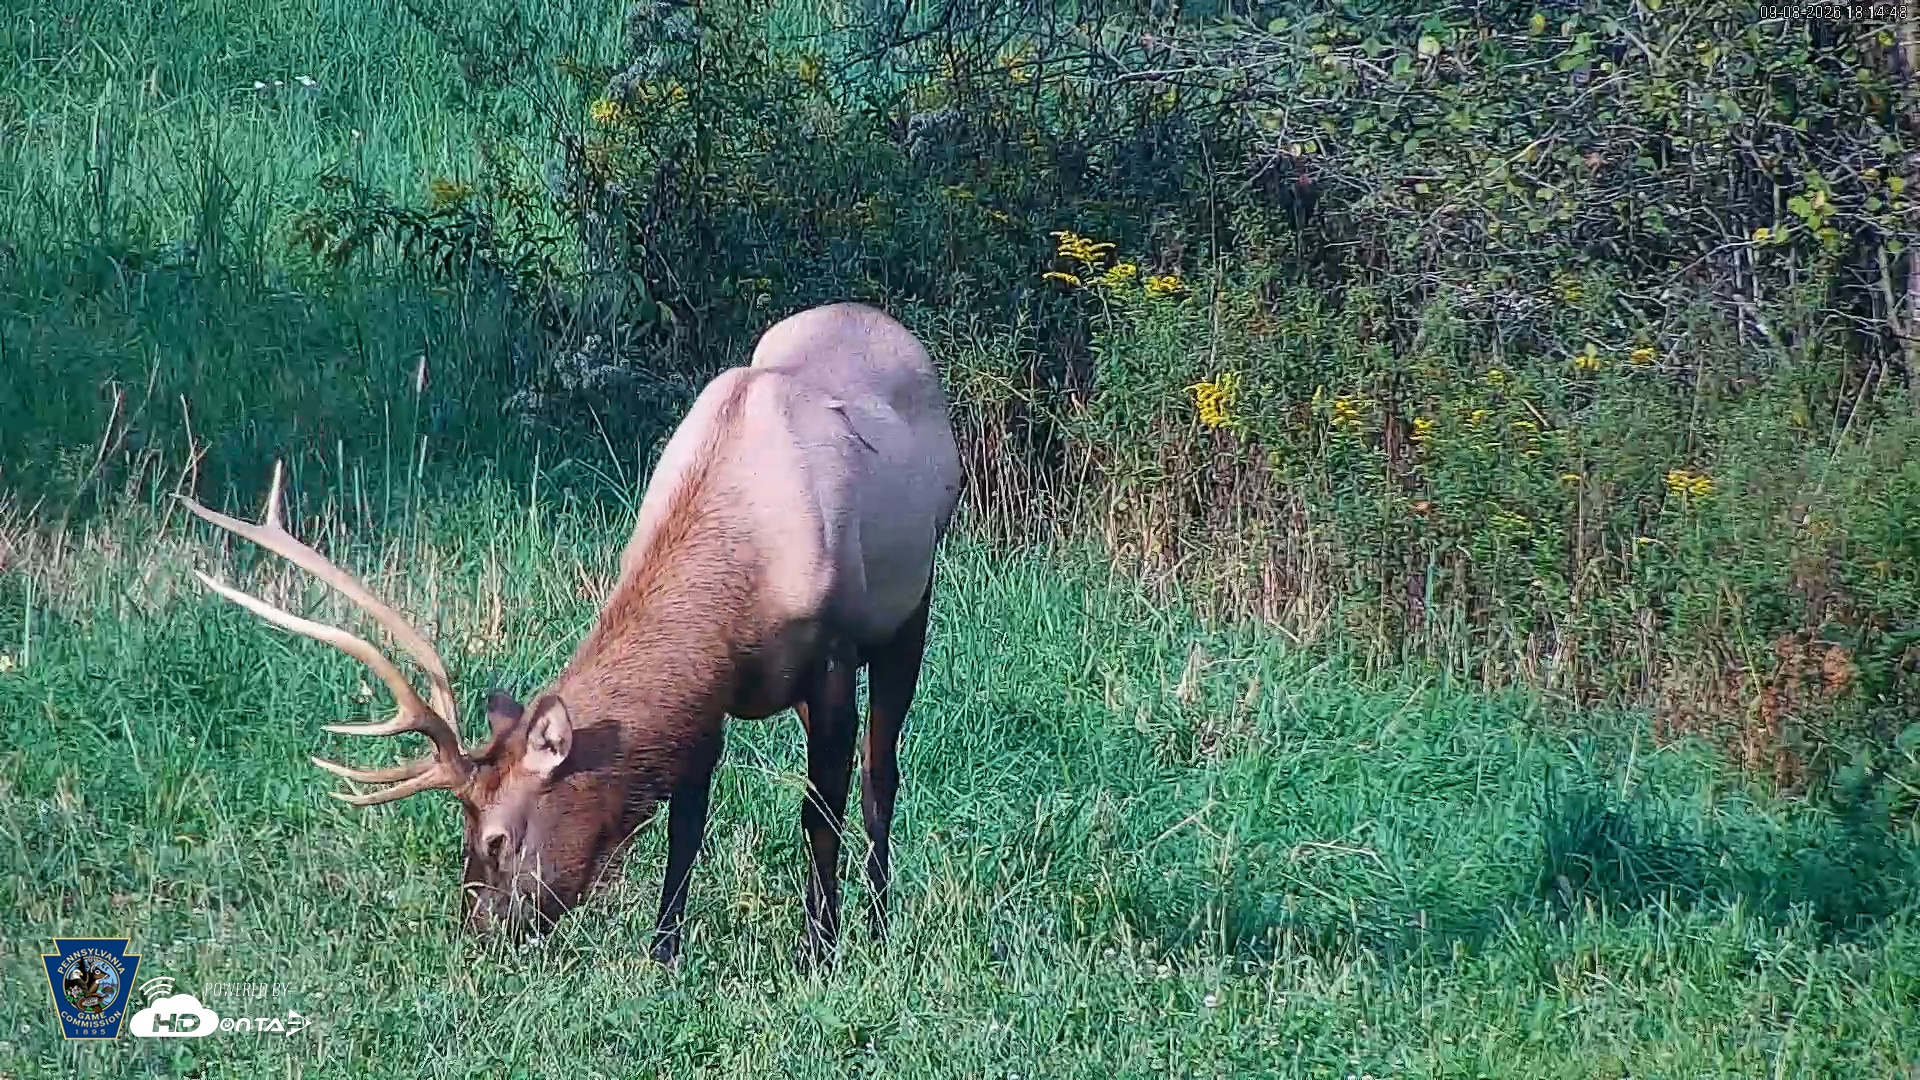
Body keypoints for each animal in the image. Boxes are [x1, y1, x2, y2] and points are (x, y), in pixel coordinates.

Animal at [176, 302, 963, 966]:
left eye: (497, 837)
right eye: (461, 825)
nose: (477, 936)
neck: (742, 586)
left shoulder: (830, 658)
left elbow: (820, 811)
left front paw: (819, 953)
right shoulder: (708, 691)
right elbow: (686, 822)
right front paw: (663, 953)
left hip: (911, 608)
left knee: (881, 776)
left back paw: (879, 923)